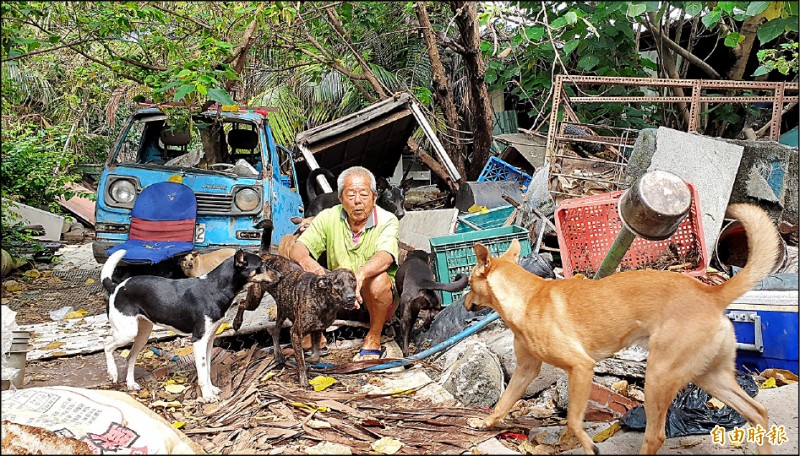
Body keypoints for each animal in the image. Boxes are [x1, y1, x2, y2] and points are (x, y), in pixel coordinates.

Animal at [100, 248, 278, 400]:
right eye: (261, 265)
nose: (280, 275)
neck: (215, 288)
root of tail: (116, 287)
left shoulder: (209, 340)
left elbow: (207, 369)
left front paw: (211, 390)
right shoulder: (198, 340)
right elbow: (202, 370)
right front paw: (207, 396)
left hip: (142, 333)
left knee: (130, 356)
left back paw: (130, 384)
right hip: (126, 333)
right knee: (107, 345)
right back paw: (112, 373)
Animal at [252, 256, 358, 388]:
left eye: (353, 280)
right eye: (337, 283)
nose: (352, 297)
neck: (323, 300)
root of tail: (265, 255)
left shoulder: (317, 330)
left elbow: (316, 356)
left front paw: (308, 360)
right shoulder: (295, 333)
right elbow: (301, 361)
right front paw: (303, 380)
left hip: (283, 308)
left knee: (275, 330)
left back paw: (279, 353)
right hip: (255, 298)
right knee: (242, 305)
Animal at [462, 205, 780, 454]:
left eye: (467, 283)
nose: (464, 303)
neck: (527, 298)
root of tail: (711, 293)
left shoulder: (581, 367)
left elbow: (573, 420)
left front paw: (588, 444)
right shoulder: (526, 370)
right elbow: (503, 403)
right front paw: (485, 423)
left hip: (659, 377)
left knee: (656, 436)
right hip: (709, 376)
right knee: (759, 412)